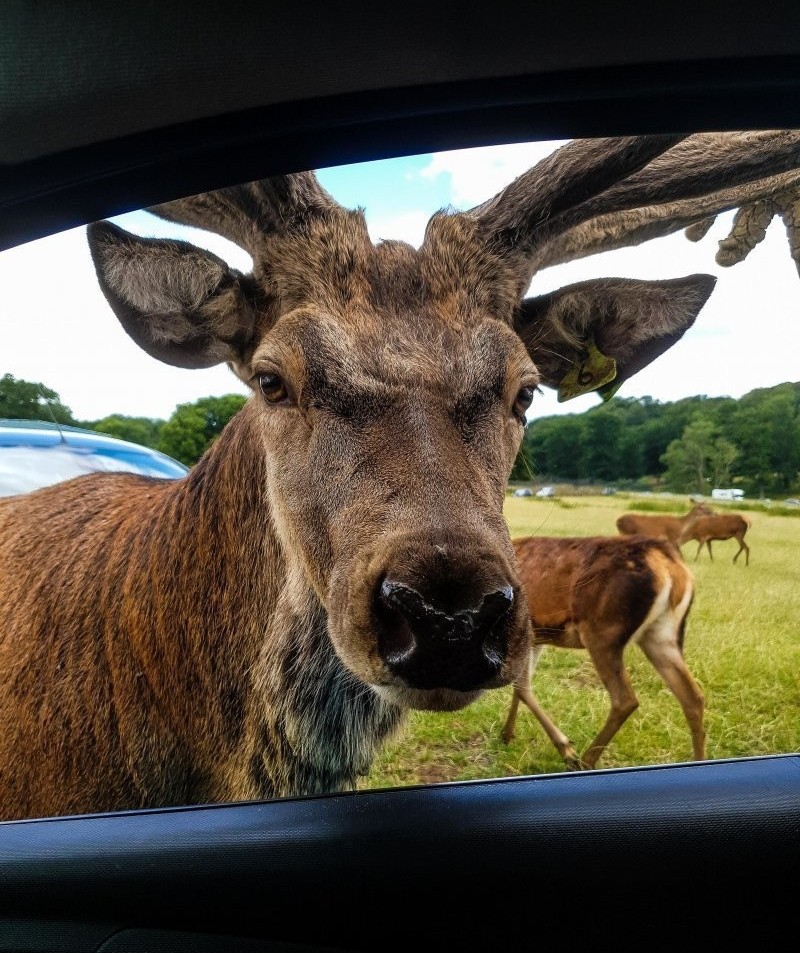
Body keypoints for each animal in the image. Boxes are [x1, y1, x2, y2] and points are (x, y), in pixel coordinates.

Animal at [504, 536, 704, 768]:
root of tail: (671, 568)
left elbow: (522, 687)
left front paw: (566, 748)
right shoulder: (535, 640)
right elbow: (521, 687)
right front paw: (507, 734)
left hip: (602, 632)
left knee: (625, 699)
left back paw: (585, 762)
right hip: (663, 636)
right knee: (693, 696)